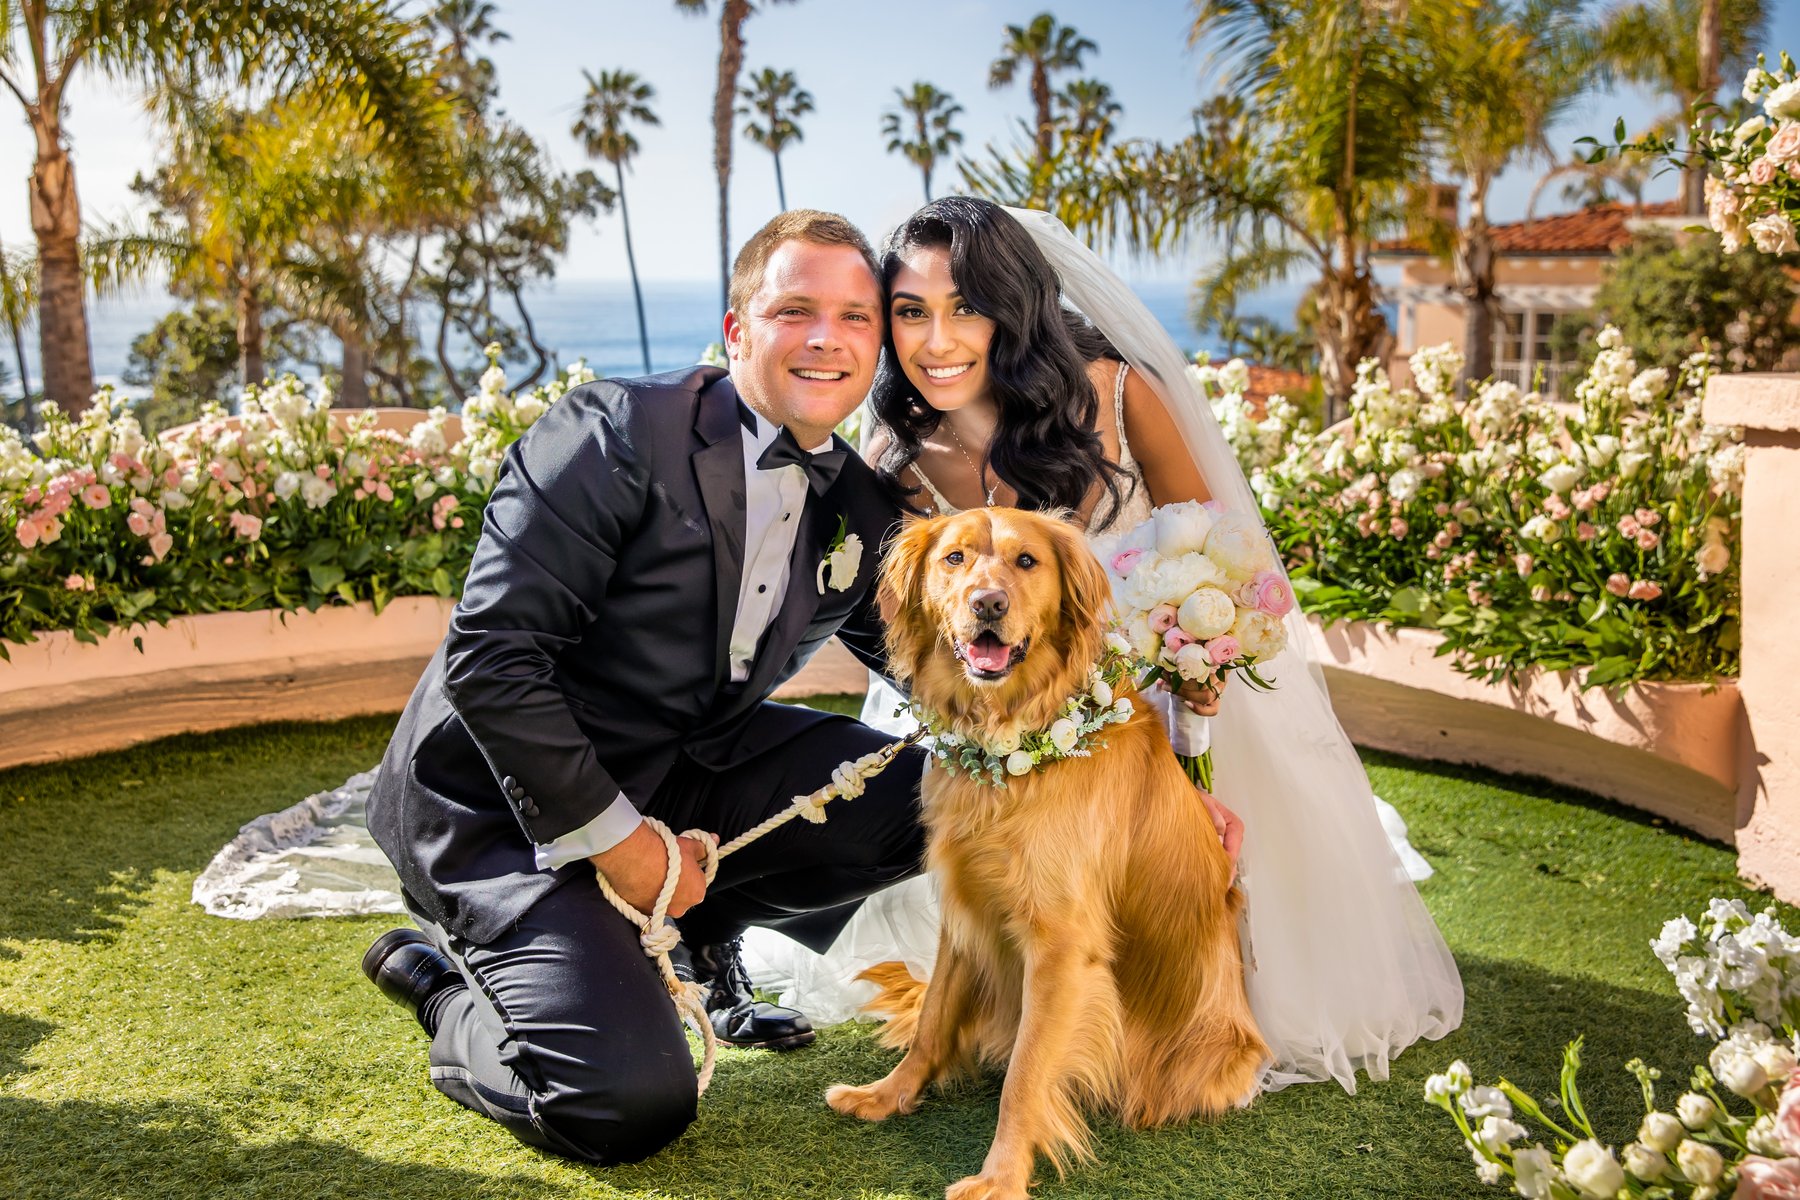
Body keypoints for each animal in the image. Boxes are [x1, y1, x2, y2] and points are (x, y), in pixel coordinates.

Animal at [825, 507, 1267, 1200]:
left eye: (1027, 561)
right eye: (954, 559)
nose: (989, 603)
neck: (1011, 747)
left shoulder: (1061, 948)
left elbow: (1026, 1075)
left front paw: (1000, 1178)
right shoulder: (965, 909)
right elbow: (931, 1022)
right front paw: (889, 1095)